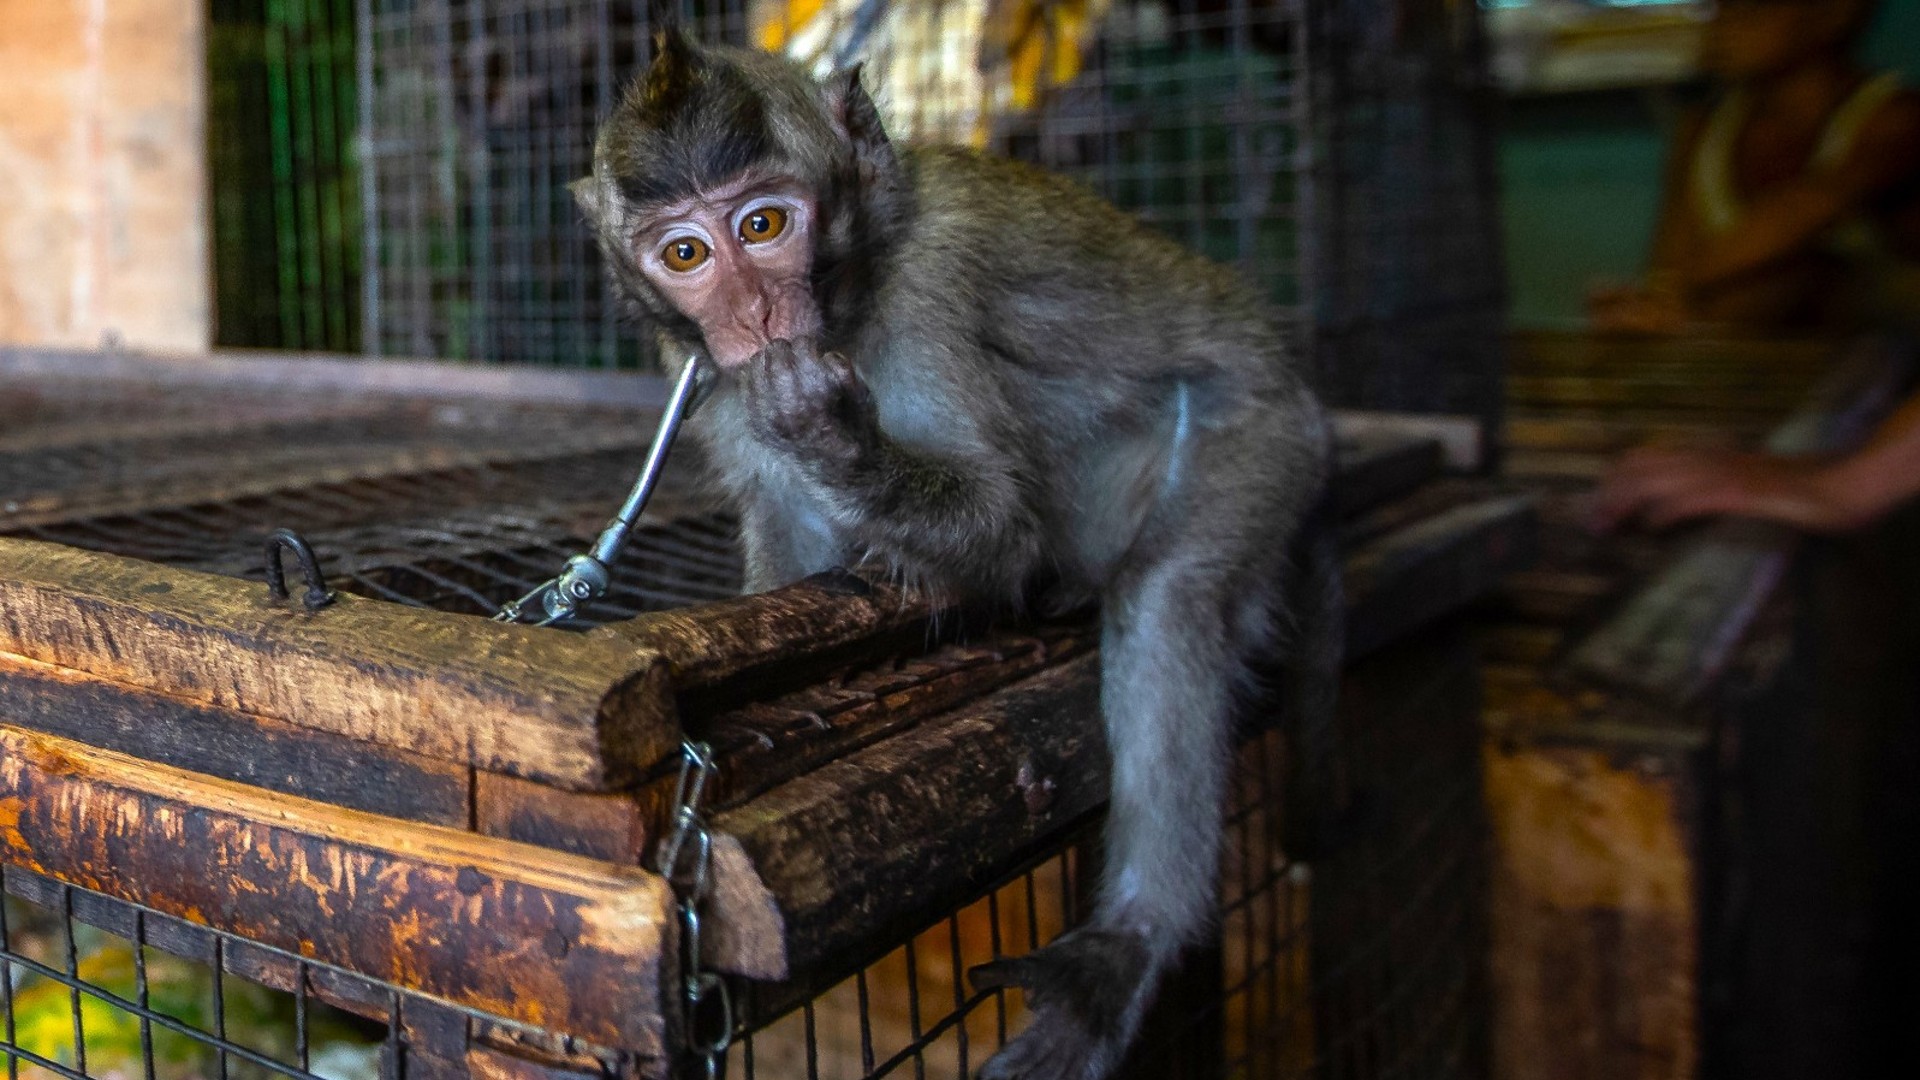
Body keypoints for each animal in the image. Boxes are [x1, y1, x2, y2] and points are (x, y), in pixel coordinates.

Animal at [576, 27, 1344, 1076]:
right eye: (685, 253)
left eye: (765, 225)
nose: (754, 317)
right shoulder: (705, 369)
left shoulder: (928, 290)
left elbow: (1002, 526)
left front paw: (835, 436)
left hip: (1263, 436)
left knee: (1168, 595)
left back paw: (1130, 940)